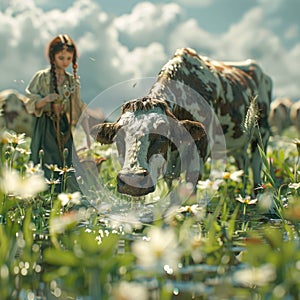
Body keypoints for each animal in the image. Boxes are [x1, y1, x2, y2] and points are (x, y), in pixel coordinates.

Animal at [92, 47, 272, 197]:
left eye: (162, 136)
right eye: (118, 138)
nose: (132, 181)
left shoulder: (201, 149)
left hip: (262, 132)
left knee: (256, 162)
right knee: (243, 161)